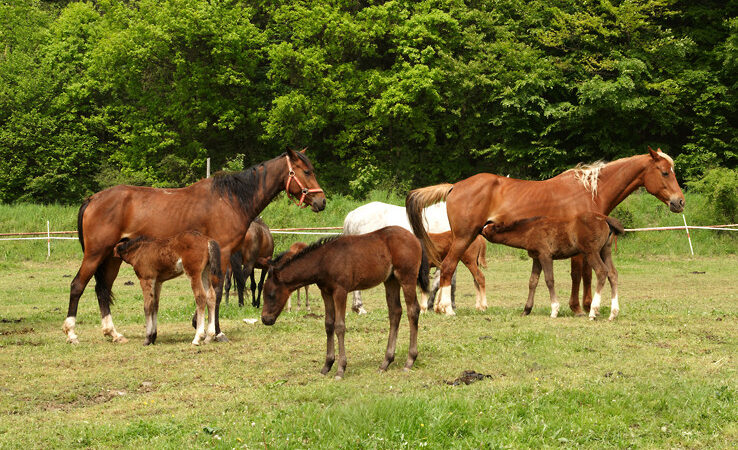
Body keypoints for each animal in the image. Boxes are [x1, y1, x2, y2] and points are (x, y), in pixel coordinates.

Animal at [64, 149, 324, 342]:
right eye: (306, 171)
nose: (321, 201)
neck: (230, 199)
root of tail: (93, 199)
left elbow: (208, 292)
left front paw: (200, 326)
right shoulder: (224, 253)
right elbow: (216, 292)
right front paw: (215, 332)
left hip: (111, 258)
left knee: (102, 290)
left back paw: (113, 333)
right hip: (95, 254)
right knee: (77, 285)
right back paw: (72, 333)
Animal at [260, 227, 428, 378]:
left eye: (271, 295)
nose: (265, 319)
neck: (324, 261)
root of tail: (415, 238)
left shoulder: (340, 291)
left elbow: (339, 326)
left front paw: (341, 369)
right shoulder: (326, 292)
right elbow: (328, 324)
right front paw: (327, 365)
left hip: (407, 277)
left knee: (413, 310)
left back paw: (409, 361)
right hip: (390, 280)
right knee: (395, 312)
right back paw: (385, 362)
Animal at [406, 148, 680, 316]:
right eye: (665, 172)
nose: (679, 202)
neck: (589, 190)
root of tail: (454, 186)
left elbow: (582, 275)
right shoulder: (579, 248)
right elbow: (580, 275)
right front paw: (580, 307)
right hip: (464, 238)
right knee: (448, 268)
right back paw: (447, 309)